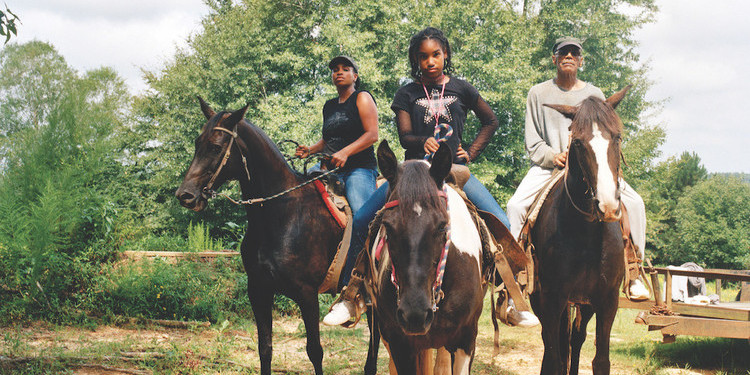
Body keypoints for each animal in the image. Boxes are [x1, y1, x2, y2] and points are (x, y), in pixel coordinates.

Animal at [177, 100, 382, 375]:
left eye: (216, 146)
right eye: (197, 142)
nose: (185, 195)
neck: (283, 214)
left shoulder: (307, 295)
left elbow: (315, 351)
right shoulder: (259, 290)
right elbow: (265, 348)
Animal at [532, 86, 632, 375]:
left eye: (617, 137)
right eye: (577, 142)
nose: (608, 205)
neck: (587, 236)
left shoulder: (607, 300)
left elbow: (600, 361)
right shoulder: (552, 298)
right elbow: (554, 357)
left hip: (583, 305)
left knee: (574, 340)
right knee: (553, 344)